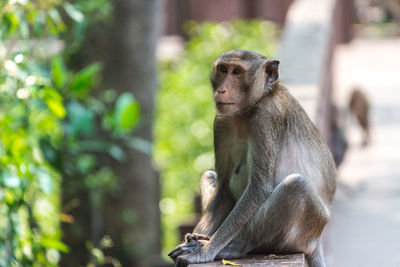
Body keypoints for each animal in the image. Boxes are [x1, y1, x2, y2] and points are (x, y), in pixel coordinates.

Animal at [167, 49, 336, 266]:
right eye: (223, 69)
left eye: (237, 72)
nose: (221, 90)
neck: (246, 112)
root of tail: (317, 239)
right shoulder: (221, 121)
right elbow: (223, 189)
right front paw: (196, 239)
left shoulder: (266, 116)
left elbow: (259, 187)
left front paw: (205, 249)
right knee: (210, 175)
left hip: (307, 229)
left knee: (296, 185)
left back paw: (235, 246)